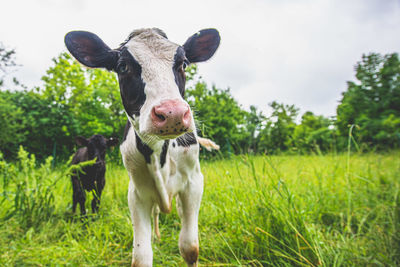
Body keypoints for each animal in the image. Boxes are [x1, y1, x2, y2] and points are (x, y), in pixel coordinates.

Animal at [66, 28, 222, 266]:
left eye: (184, 63)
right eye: (123, 66)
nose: (172, 113)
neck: (159, 154)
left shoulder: (194, 182)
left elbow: (190, 247)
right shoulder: (137, 192)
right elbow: (141, 256)